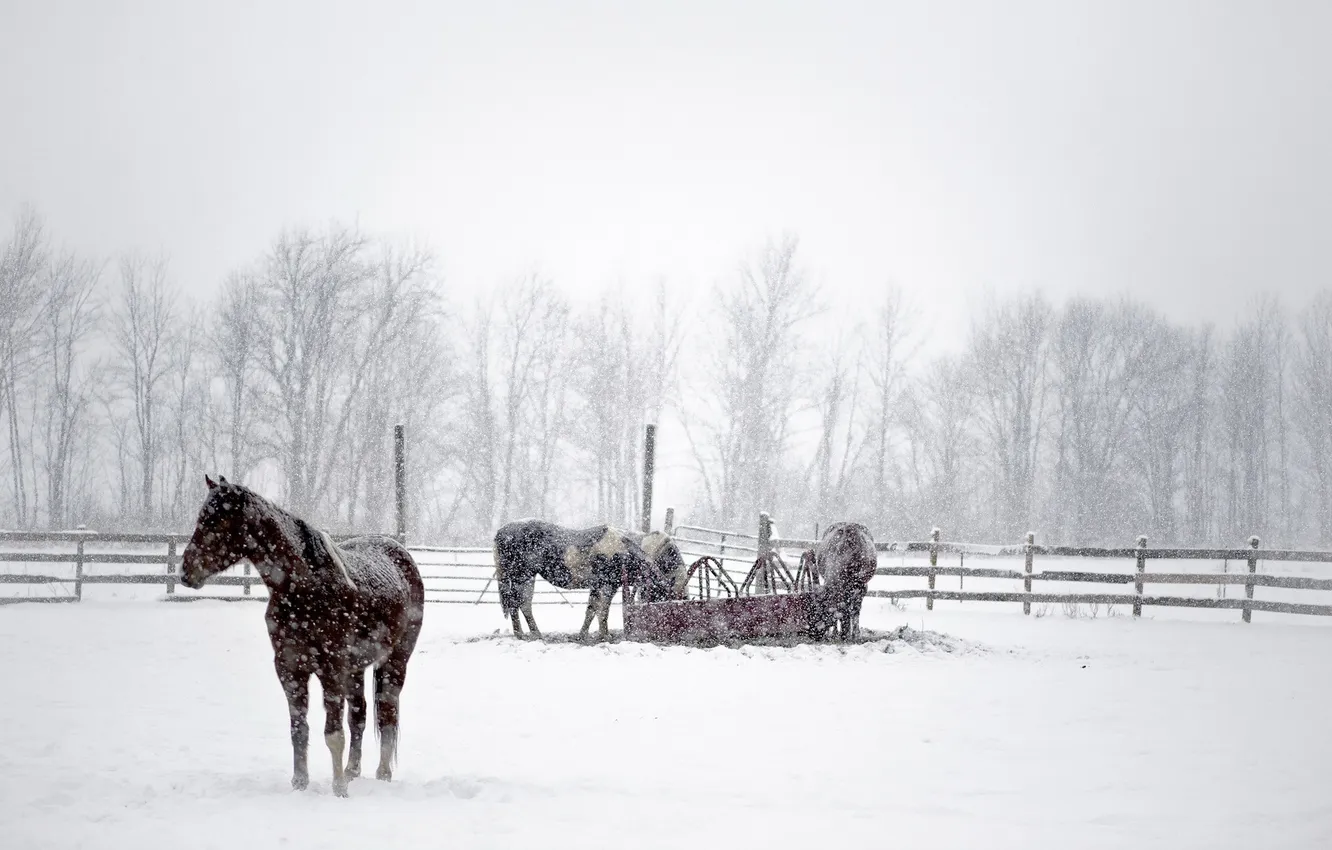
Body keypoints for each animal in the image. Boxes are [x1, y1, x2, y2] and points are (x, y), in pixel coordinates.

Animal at [179, 475, 425, 798]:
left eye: (218, 520)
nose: (186, 572)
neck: (304, 589)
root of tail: (400, 552)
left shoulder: (332, 669)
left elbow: (333, 733)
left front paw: (338, 790)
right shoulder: (290, 668)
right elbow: (300, 729)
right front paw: (300, 783)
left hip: (395, 662)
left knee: (386, 712)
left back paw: (382, 774)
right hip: (356, 669)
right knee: (359, 715)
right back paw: (352, 771)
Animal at [491, 520, 684, 641]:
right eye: (664, 598)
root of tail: (500, 532)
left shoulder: (597, 587)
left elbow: (591, 610)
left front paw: (582, 635)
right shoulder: (607, 586)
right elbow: (603, 611)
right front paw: (605, 636)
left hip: (526, 577)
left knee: (523, 604)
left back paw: (532, 634)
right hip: (520, 576)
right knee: (516, 604)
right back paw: (524, 634)